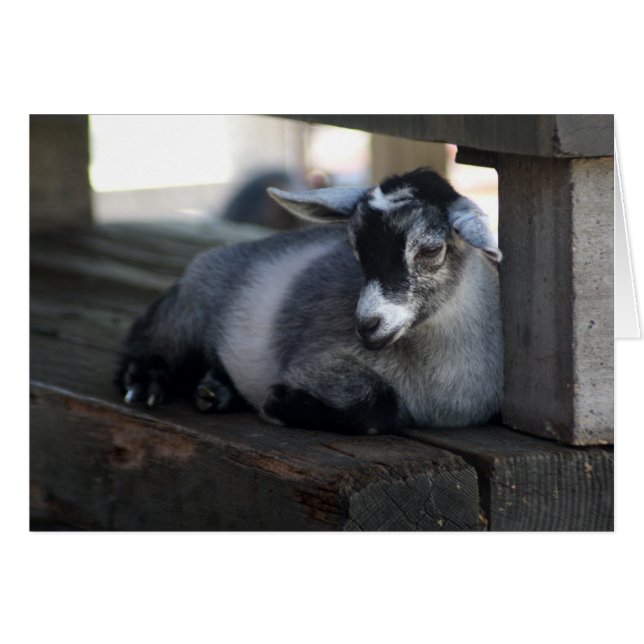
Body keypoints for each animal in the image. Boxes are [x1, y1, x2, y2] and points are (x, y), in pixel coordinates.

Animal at [116, 168, 503, 435]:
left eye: (431, 250)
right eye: (354, 248)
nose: (367, 325)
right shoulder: (318, 360)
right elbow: (379, 407)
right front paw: (280, 404)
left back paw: (215, 390)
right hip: (190, 305)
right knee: (148, 338)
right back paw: (146, 382)